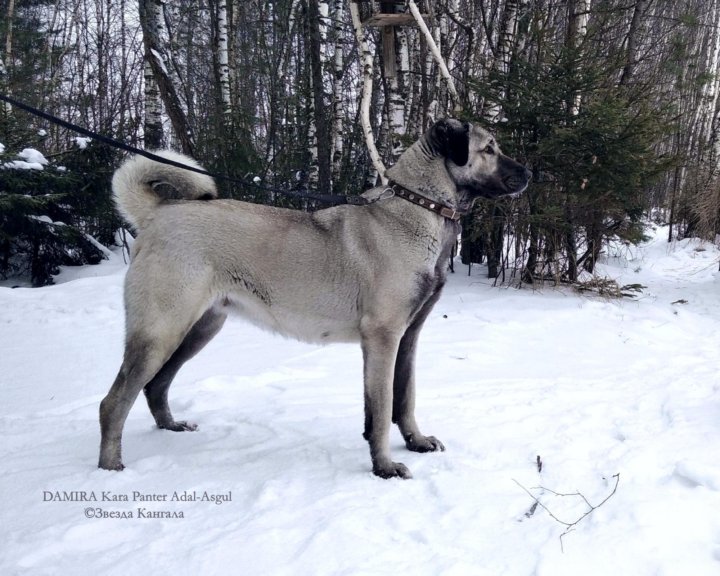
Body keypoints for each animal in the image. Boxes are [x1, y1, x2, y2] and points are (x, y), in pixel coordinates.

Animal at [98, 117, 528, 476]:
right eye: (489, 149)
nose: (530, 172)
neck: (418, 208)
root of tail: (158, 214)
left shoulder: (408, 337)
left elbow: (403, 400)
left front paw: (416, 442)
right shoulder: (383, 338)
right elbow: (382, 408)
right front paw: (385, 467)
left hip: (199, 328)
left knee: (156, 386)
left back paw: (171, 427)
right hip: (161, 331)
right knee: (114, 402)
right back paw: (111, 467)